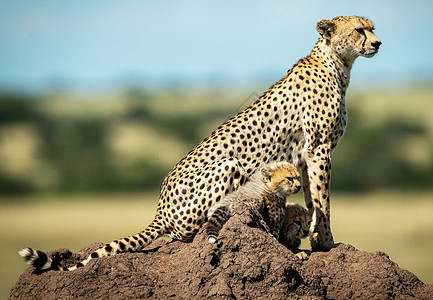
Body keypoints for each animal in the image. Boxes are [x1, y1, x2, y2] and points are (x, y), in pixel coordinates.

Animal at [21, 15, 378, 270]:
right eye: (359, 30)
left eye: (373, 28)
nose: (378, 42)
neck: (337, 63)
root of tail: (160, 208)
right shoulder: (319, 149)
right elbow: (323, 200)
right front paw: (327, 244)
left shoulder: (306, 156)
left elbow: (312, 199)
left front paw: (316, 239)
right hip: (229, 167)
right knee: (195, 232)